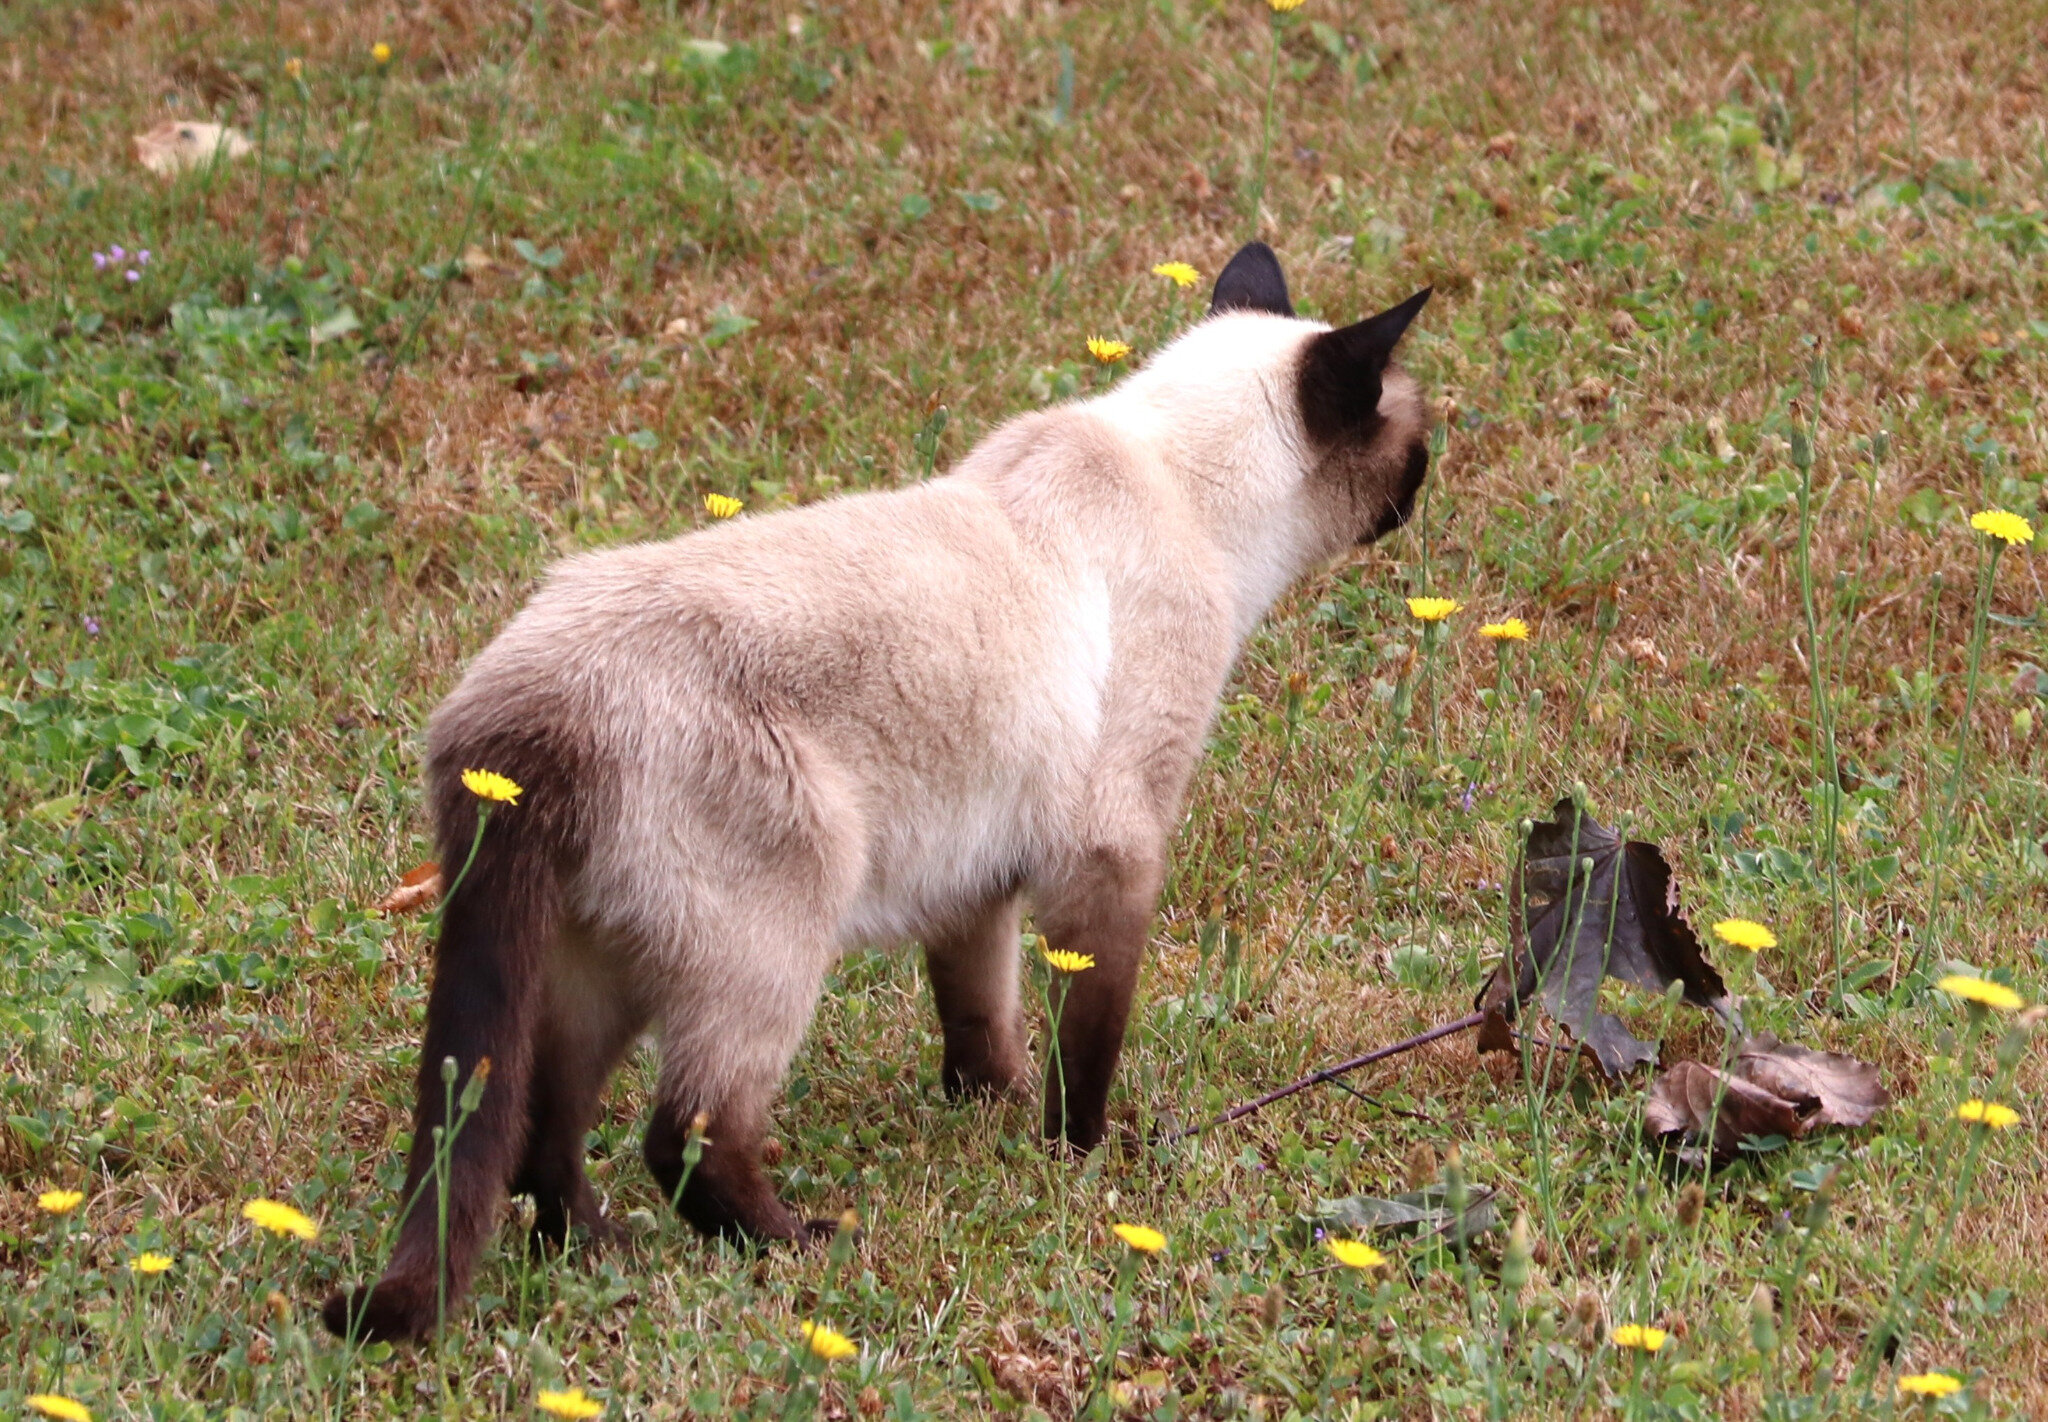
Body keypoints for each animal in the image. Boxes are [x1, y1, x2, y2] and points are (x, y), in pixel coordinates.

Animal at [327, 239, 1433, 1344]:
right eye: (1417, 447)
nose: (1420, 496)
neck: (1187, 498)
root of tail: (516, 707)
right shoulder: (1113, 851)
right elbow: (1085, 1041)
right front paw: (1079, 1157)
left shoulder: (977, 878)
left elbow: (980, 1020)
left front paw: (991, 1114)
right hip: (768, 935)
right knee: (682, 1132)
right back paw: (795, 1243)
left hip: (597, 957)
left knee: (540, 1129)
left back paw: (597, 1250)